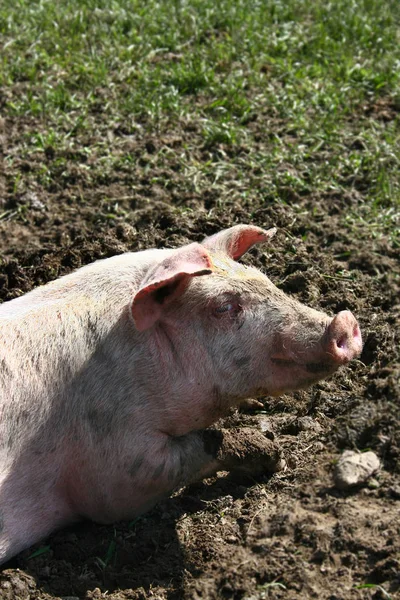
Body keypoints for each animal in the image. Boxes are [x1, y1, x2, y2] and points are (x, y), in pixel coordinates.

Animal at [0, 224, 362, 564]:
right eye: (223, 307)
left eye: (266, 280)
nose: (344, 321)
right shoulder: (113, 458)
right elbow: (197, 449)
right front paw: (272, 455)